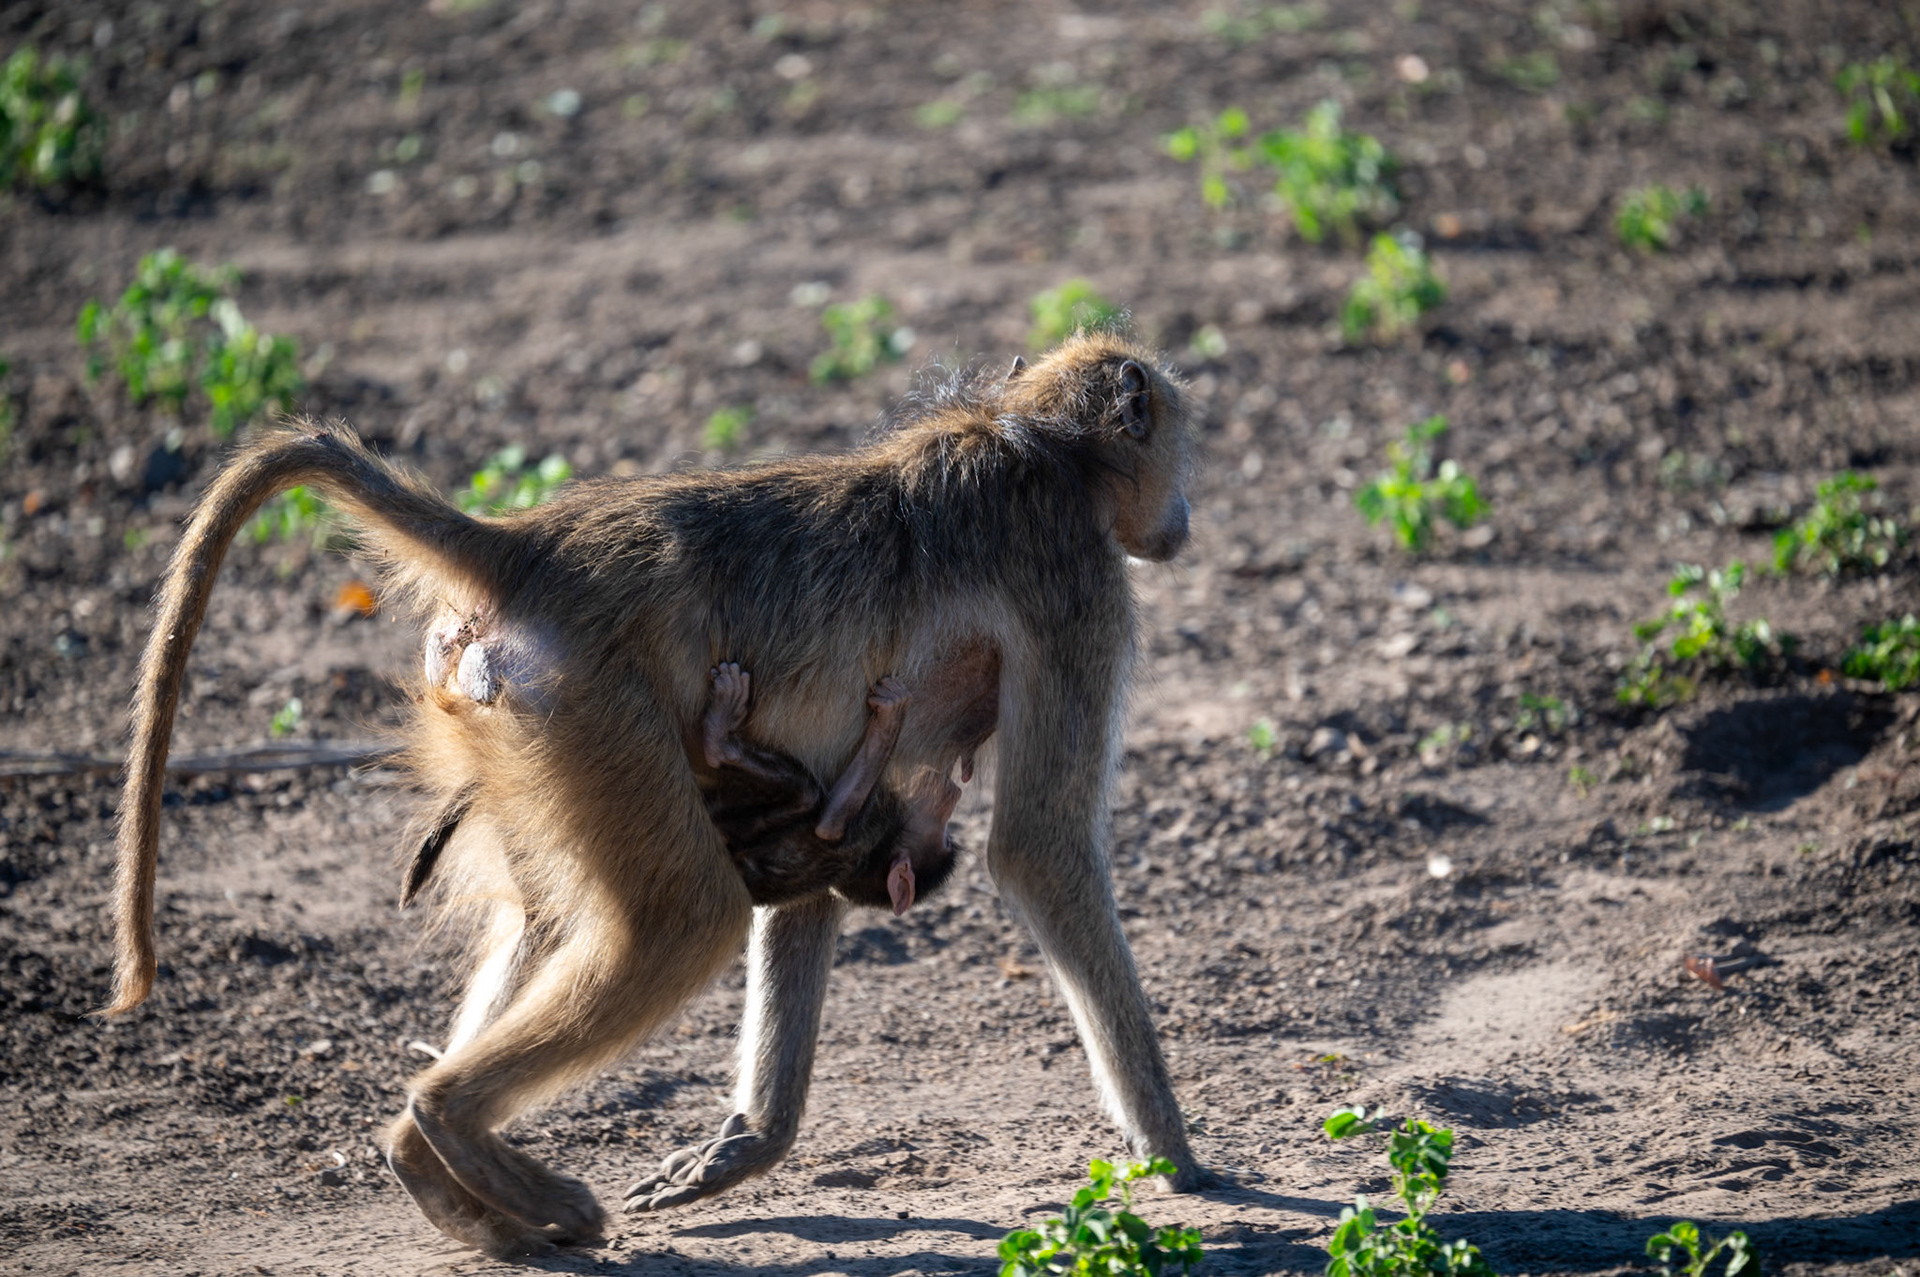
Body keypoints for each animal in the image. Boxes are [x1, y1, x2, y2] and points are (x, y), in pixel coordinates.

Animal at [109, 333, 1204, 1257]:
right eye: (1180, 448)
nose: (1184, 521)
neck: (1039, 443)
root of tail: (528, 546)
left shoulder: (842, 804)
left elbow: (815, 881)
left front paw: (744, 1143)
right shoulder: (1079, 588)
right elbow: (1038, 847)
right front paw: (1180, 1158)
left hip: (526, 727)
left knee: (550, 921)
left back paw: (440, 1172)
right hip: (598, 706)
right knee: (686, 916)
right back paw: (451, 1124)